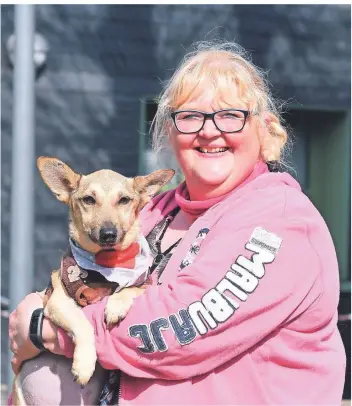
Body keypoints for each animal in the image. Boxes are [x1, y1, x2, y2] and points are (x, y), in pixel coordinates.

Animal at [12, 157, 175, 404]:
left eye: (124, 200)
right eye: (88, 199)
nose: (108, 233)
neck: (106, 268)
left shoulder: (144, 284)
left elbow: (130, 289)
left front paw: (116, 305)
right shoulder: (57, 302)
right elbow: (83, 323)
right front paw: (84, 364)